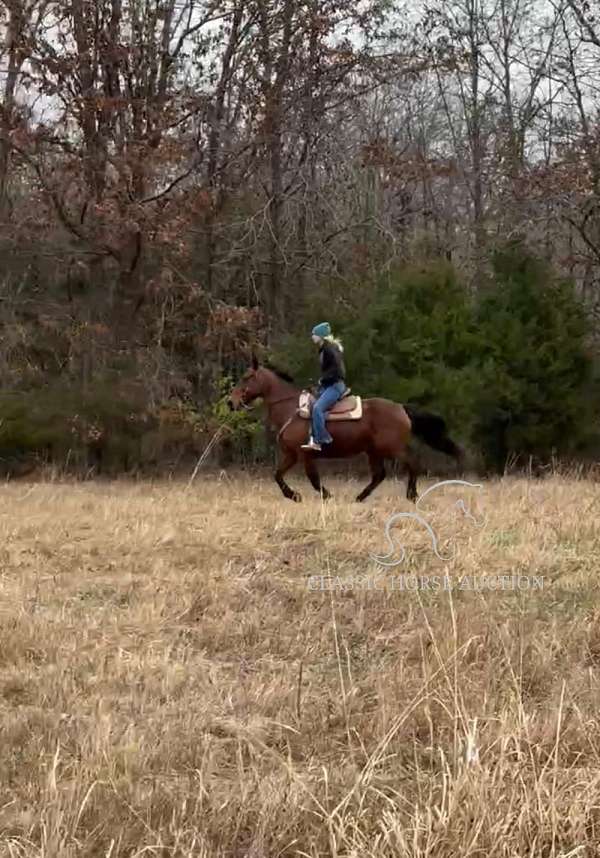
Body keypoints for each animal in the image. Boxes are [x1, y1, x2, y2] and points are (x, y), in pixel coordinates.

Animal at [230, 354, 464, 502]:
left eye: (247, 377)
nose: (231, 402)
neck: (291, 409)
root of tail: (401, 408)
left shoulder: (305, 455)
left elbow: (313, 479)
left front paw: (326, 496)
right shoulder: (291, 454)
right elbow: (277, 475)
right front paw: (294, 496)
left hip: (391, 448)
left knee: (412, 463)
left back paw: (411, 495)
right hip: (373, 451)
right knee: (379, 475)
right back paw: (359, 498)